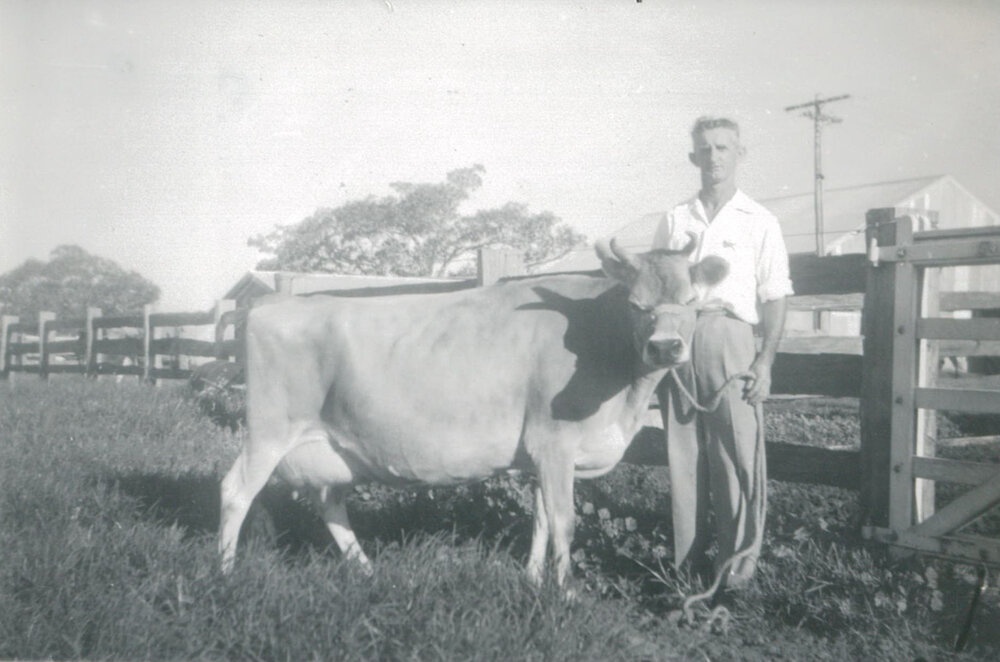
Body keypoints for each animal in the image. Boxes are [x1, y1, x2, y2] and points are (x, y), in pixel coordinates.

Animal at [219, 237, 728, 588]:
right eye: (637, 305)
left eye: (691, 301)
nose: (665, 347)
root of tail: (273, 303)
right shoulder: (555, 441)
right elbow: (564, 521)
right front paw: (566, 594)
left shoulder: (540, 453)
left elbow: (541, 519)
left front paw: (532, 580)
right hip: (269, 431)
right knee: (235, 491)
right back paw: (224, 572)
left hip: (330, 444)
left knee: (329, 504)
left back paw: (366, 570)